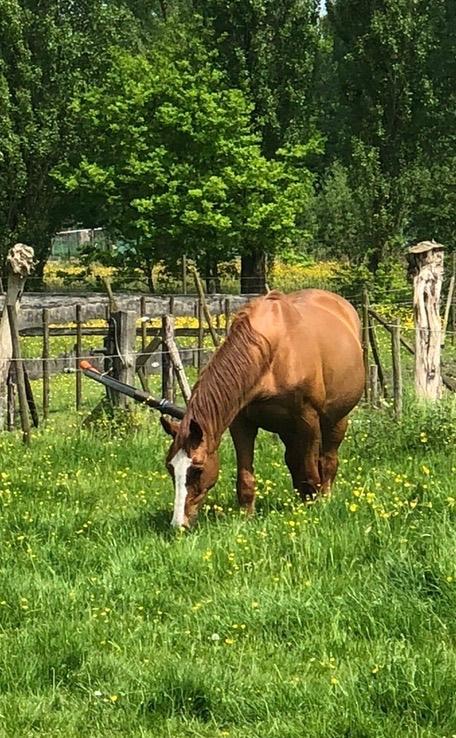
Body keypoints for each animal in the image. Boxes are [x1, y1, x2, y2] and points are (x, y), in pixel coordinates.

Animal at [160, 289, 365, 528]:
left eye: (197, 469)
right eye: (170, 467)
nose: (178, 524)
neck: (271, 354)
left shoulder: (308, 419)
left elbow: (312, 472)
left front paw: (313, 512)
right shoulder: (241, 424)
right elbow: (246, 478)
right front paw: (246, 518)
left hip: (335, 420)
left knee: (328, 460)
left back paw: (325, 497)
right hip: (288, 430)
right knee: (294, 461)